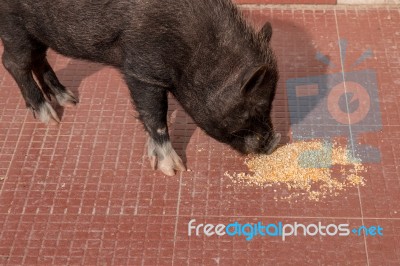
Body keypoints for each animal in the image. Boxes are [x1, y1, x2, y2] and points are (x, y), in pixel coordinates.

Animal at [0, 0, 282, 177]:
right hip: (13, 26)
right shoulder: (142, 70)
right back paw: (50, 118)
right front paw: (174, 170)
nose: (273, 143)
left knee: (37, 58)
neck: (195, 51)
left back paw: (68, 99)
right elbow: (154, 115)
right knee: (13, 62)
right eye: (255, 107)